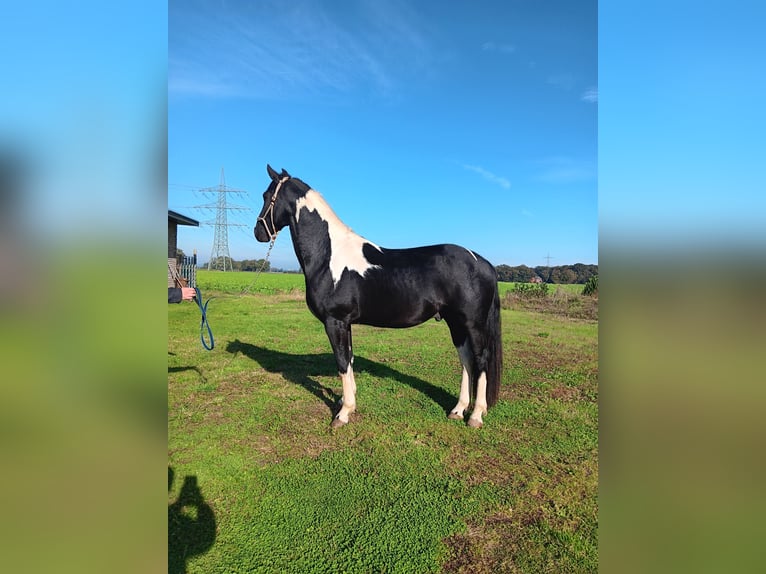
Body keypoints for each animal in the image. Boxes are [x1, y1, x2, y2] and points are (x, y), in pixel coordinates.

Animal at [254, 164, 504, 430]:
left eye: (266, 196)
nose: (258, 232)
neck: (328, 254)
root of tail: (484, 263)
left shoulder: (335, 321)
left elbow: (342, 362)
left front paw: (343, 413)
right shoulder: (345, 323)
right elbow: (349, 359)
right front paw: (347, 401)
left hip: (473, 324)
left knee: (480, 361)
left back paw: (475, 415)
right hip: (455, 322)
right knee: (466, 360)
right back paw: (457, 410)